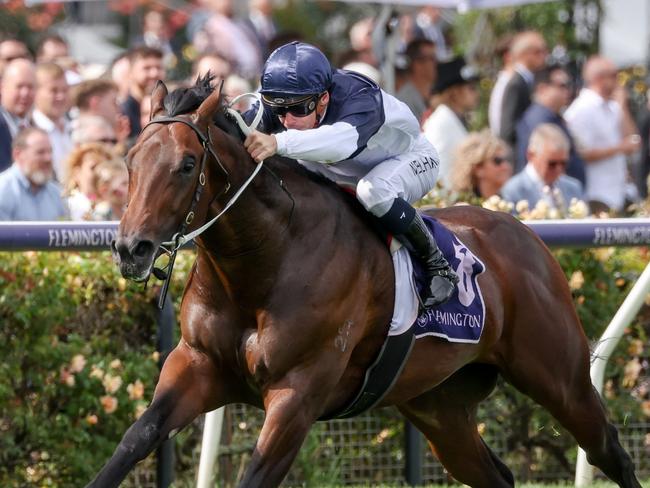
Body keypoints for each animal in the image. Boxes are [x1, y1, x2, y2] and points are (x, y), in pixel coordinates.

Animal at [93, 78, 640, 486]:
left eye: (187, 164)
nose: (130, 248)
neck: (263, 262)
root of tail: (525, 233)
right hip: (438, 406)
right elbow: (132, 441)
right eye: (130, 160)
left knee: (609, 450)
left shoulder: (298, 393)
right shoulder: (197, 366)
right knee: (496, 475)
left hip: (558, 376)